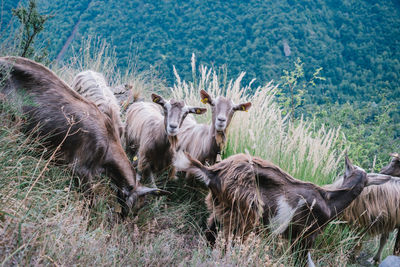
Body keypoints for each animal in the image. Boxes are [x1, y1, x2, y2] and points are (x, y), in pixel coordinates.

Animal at [173, 153, 390, 266]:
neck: (328, 200)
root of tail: (213, 173)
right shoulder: (304, 235)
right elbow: (301, 261)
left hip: (219, 209)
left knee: (211, 236)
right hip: (244, 213)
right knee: (229, 244)